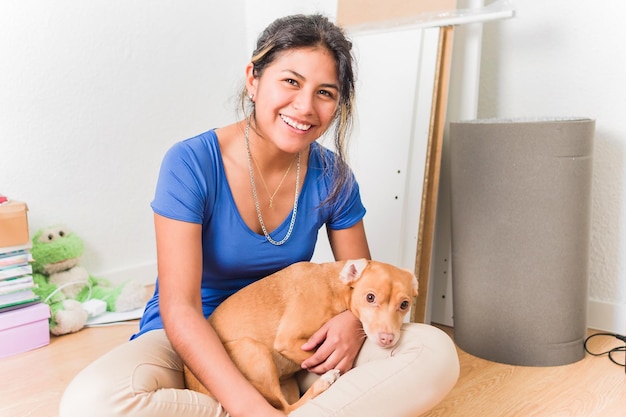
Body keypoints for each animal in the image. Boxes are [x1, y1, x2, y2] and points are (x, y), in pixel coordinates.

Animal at [183, 258, 416, 412]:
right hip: (254, 349)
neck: (332, 286)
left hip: (288, 383)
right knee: (287, 409)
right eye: (370, 297)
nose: (387, 339)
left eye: (404, 304)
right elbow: (323, 360)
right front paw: (332, 371)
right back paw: (325, 380)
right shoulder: (288, 341)